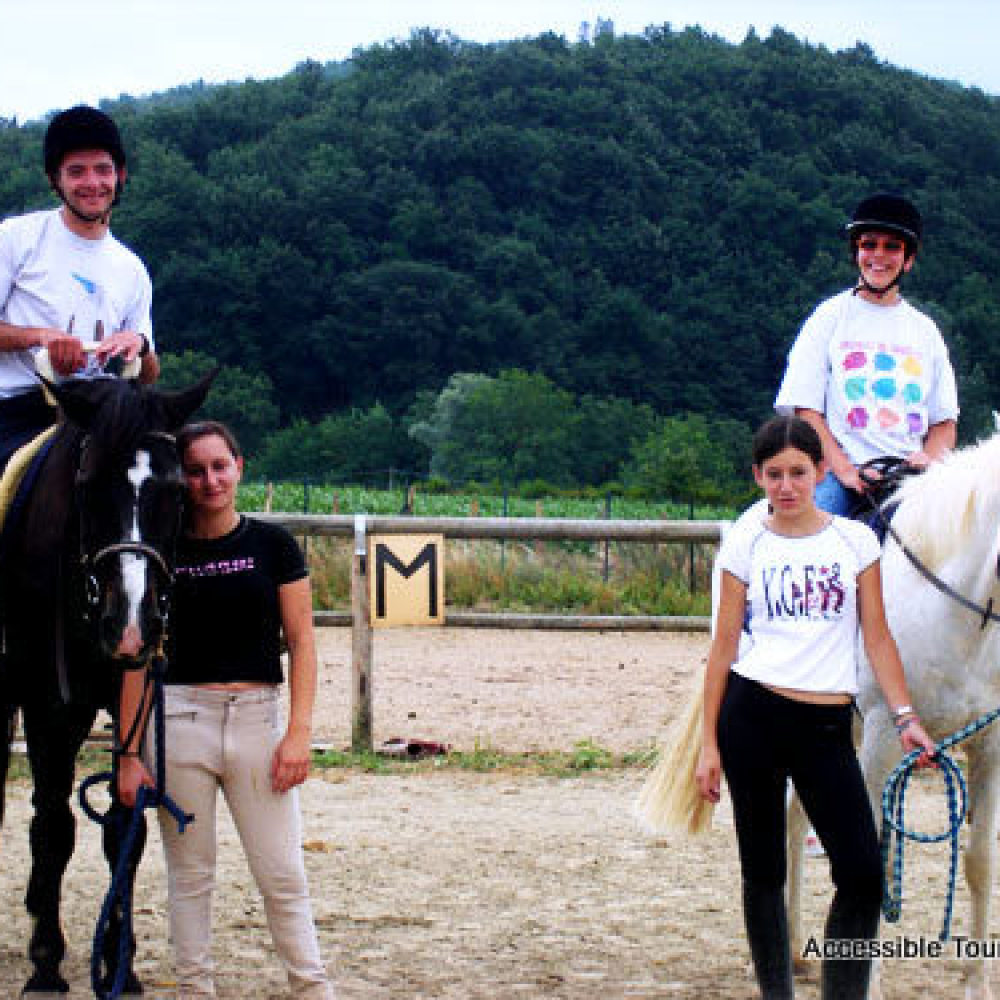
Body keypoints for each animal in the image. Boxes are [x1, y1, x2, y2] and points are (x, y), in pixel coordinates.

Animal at [0, 372, 213, 996]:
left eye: (177, 489)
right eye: (89, 485)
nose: (132, 625)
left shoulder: (134, 705)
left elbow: (123, 827)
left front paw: (122, 960)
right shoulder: (50, 709)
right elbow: (53, 826)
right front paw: (46, 961)